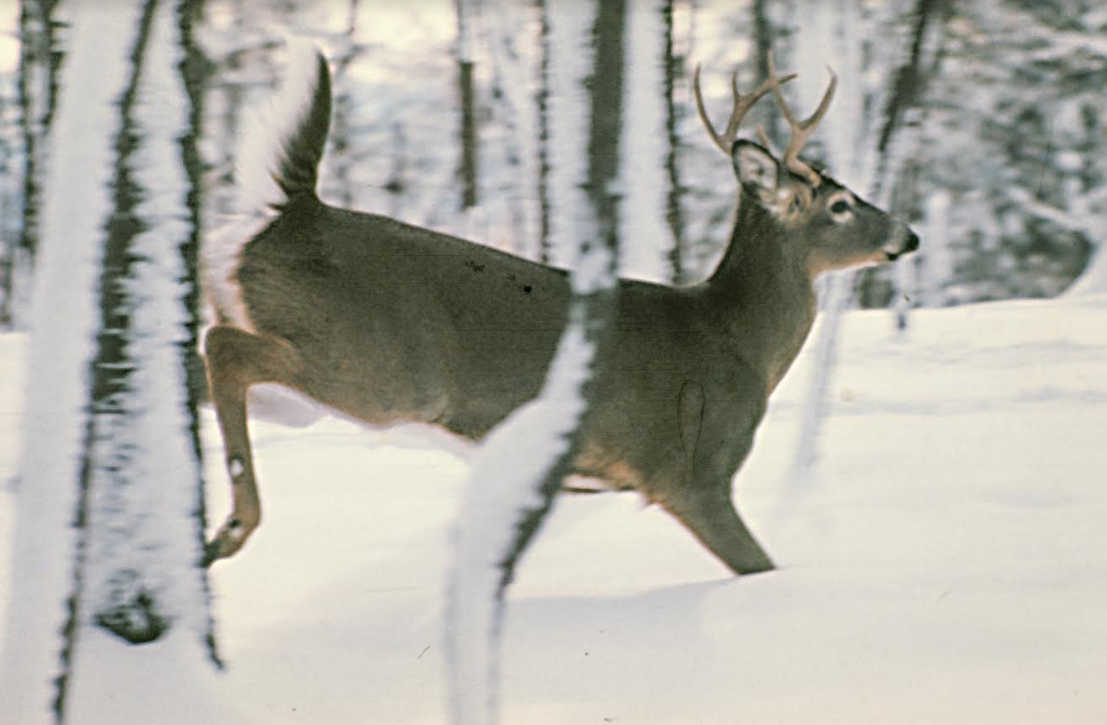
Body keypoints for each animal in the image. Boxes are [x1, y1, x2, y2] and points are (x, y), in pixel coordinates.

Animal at [201, 43, 918, 575]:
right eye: (840, 204)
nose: (908, 236)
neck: (737, 340)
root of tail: (294, 211)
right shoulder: (690, 472)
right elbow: (760, 565)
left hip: (304, 393)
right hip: (385, 371)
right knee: (221, 347)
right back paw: (232, 528)